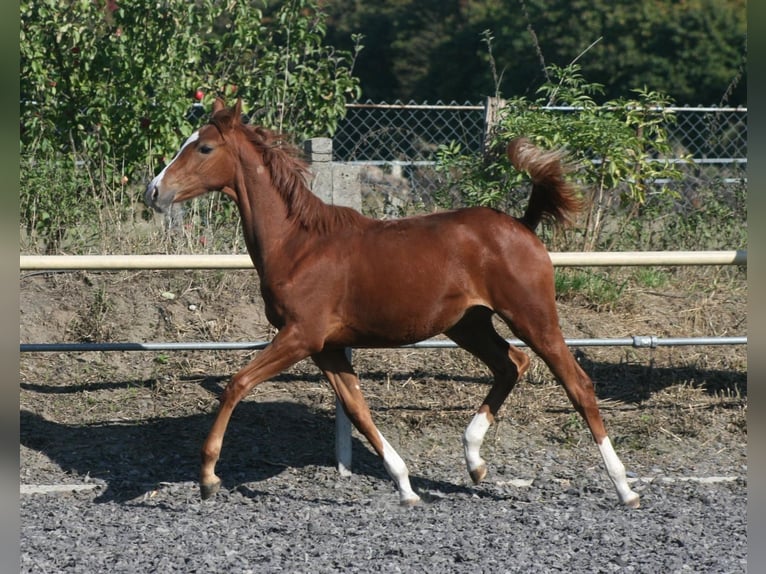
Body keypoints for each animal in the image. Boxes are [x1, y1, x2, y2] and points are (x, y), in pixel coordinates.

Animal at [145, 97, 640, 508]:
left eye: (204, 148)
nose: (154, 191)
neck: (299, 245)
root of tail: (521, 225)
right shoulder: (326, 347)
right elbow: (359, 412)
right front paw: (405, 487)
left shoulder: (300, 336)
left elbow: (237, 384)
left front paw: (208, 477)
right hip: (468, 324)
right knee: (511, 364)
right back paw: (474, 461)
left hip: (532, 316)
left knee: (578, 384)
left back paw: (624, 488)